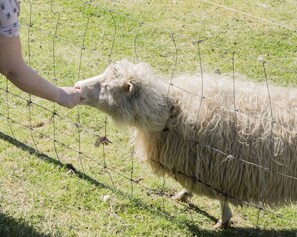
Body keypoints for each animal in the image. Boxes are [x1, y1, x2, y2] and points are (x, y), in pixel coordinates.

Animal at [74, 58, 296, 228]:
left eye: (107, 87)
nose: (77, 86)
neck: (171, 111)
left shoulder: (220, 170)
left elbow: (221, 198)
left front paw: (223, 220)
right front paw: (183, 195)